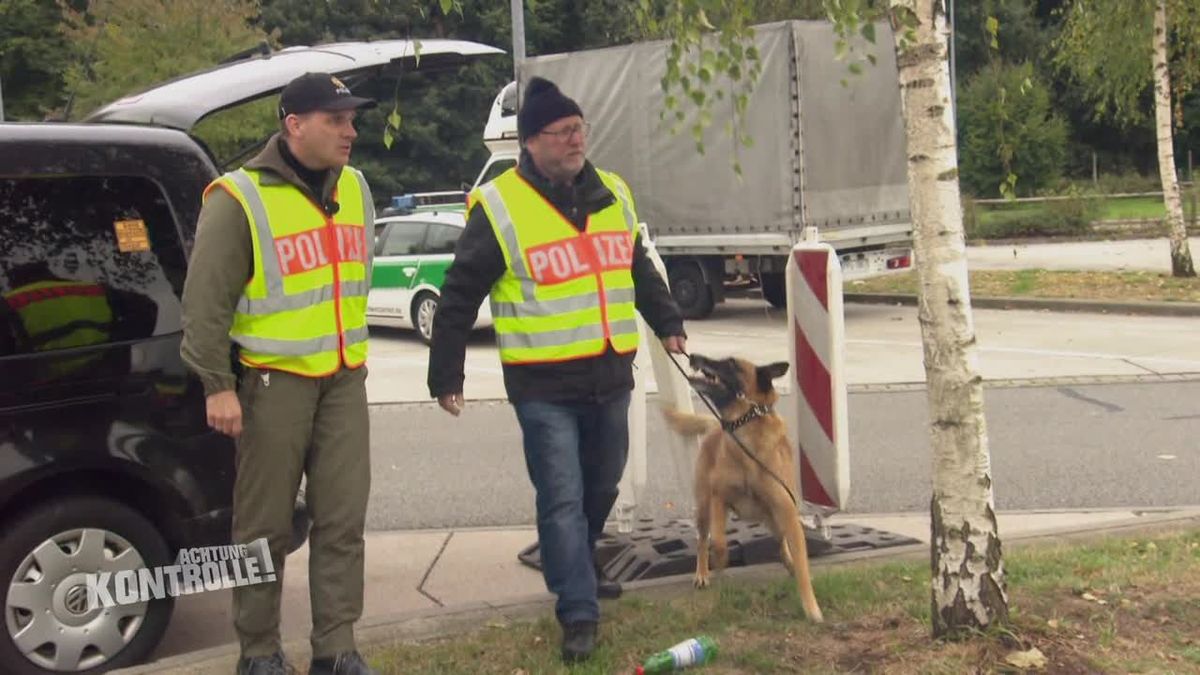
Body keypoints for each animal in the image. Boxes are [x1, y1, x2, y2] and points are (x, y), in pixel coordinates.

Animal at [662, 353, 820, 619]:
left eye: (731, 363)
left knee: (781, 543)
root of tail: (714, 426)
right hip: (704, 508)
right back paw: (702, 573)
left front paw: (812, 608)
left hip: (773, 518)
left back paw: (787, 563)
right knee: (702, 540)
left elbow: (802, 565)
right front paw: (720, 561)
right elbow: (718, 541)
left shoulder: (787, 513)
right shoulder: (718, 498)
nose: (694, 356)